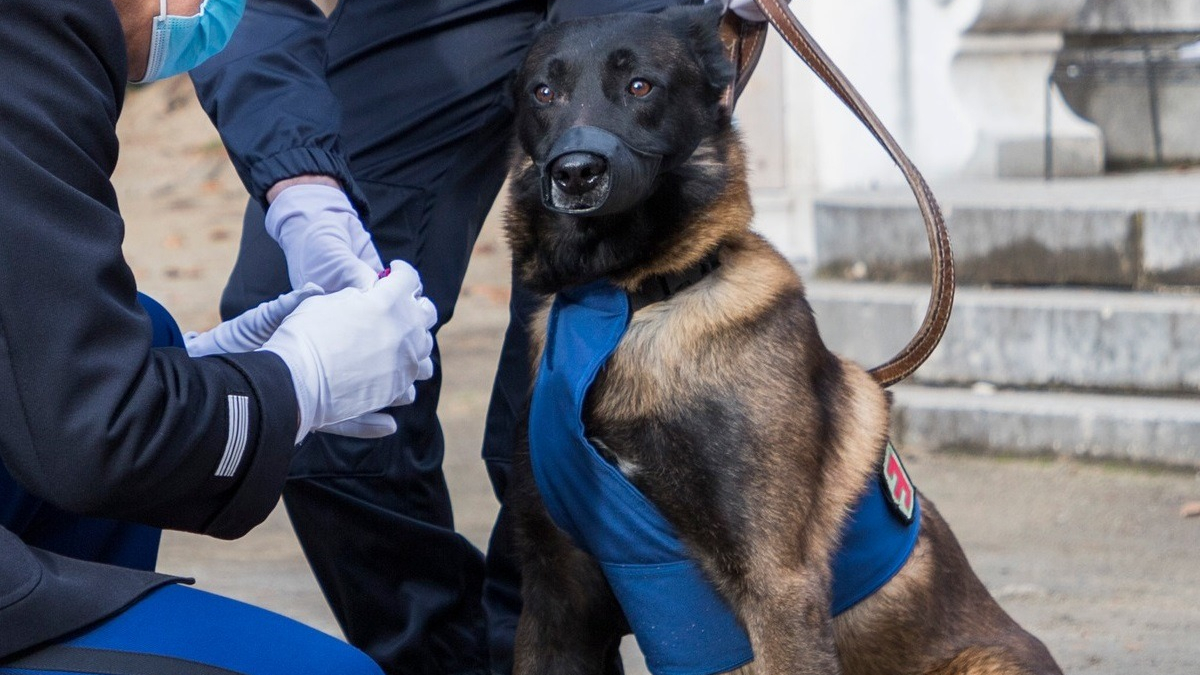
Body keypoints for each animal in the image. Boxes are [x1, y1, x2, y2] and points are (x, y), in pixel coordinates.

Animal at [501, 5, 1065, 672]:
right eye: (544, 93)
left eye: (640, 86)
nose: (576, 174)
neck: (628, 300)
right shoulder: (557, 594)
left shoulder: (776, 582)